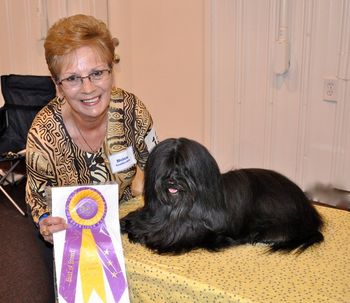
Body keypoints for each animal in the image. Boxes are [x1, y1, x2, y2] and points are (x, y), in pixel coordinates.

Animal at [120, 138, 322, 254]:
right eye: (167, 166)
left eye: (185, 169)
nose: (171, 181)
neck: (178, 209)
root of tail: (308, 209)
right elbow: (136, 219)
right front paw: (127, 225)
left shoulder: (199, 232)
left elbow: (172, 237)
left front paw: (146, 237)